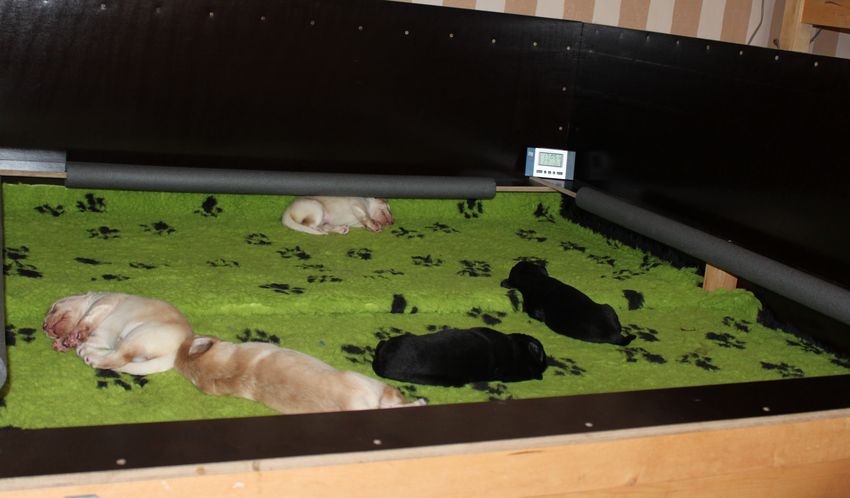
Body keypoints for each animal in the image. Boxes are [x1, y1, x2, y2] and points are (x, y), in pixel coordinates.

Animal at [42, 292, 193, 375]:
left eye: (53, 309)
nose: (43, 327)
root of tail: (175, 354)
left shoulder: (102, 304)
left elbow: (86, 320)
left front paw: (73, 335)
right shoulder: (98, 339)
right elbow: (83, 342)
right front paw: (63, 343)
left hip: (139, 334)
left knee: (119, 358)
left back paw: (93, 359)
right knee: (117, 357)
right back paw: (90, 355)